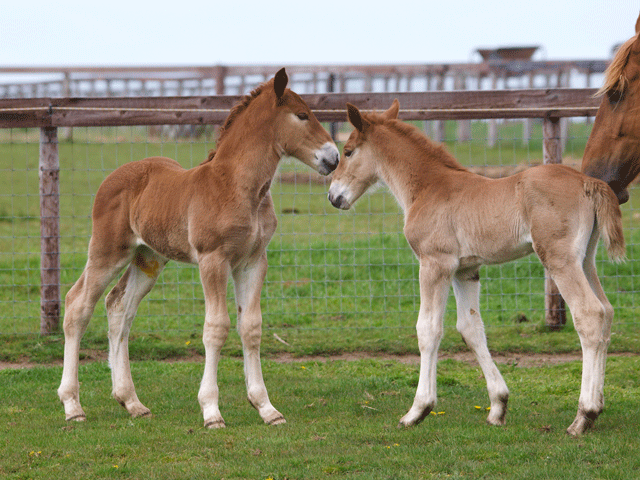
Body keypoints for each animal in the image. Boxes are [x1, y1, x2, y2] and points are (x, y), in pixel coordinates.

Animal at [57, 68, 340, 428]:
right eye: (302, 115)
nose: (333, 157)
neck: (237, 186)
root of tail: (111, 178)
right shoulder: (213, 259)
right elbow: (216, 328)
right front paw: (211, 411)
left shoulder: (253, 262)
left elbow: (251, 327)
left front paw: (266, 408)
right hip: (108, 251)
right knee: (78, 305)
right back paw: (72, 405)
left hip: (148, 257)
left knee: (119, 307)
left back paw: (131, 401)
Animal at [328, 100, 626, 435]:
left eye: (348, 151)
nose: (333, 196)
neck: (428, 187)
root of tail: (590, 182)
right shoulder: (465, 271)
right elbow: (470, 329)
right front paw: (498, 406)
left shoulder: (435, 264)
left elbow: (428, 329)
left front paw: (417, 410)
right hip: (585, 259)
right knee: (606, 312)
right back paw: (596, 407)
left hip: (559, 259)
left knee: (589, 314)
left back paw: (583, 416)